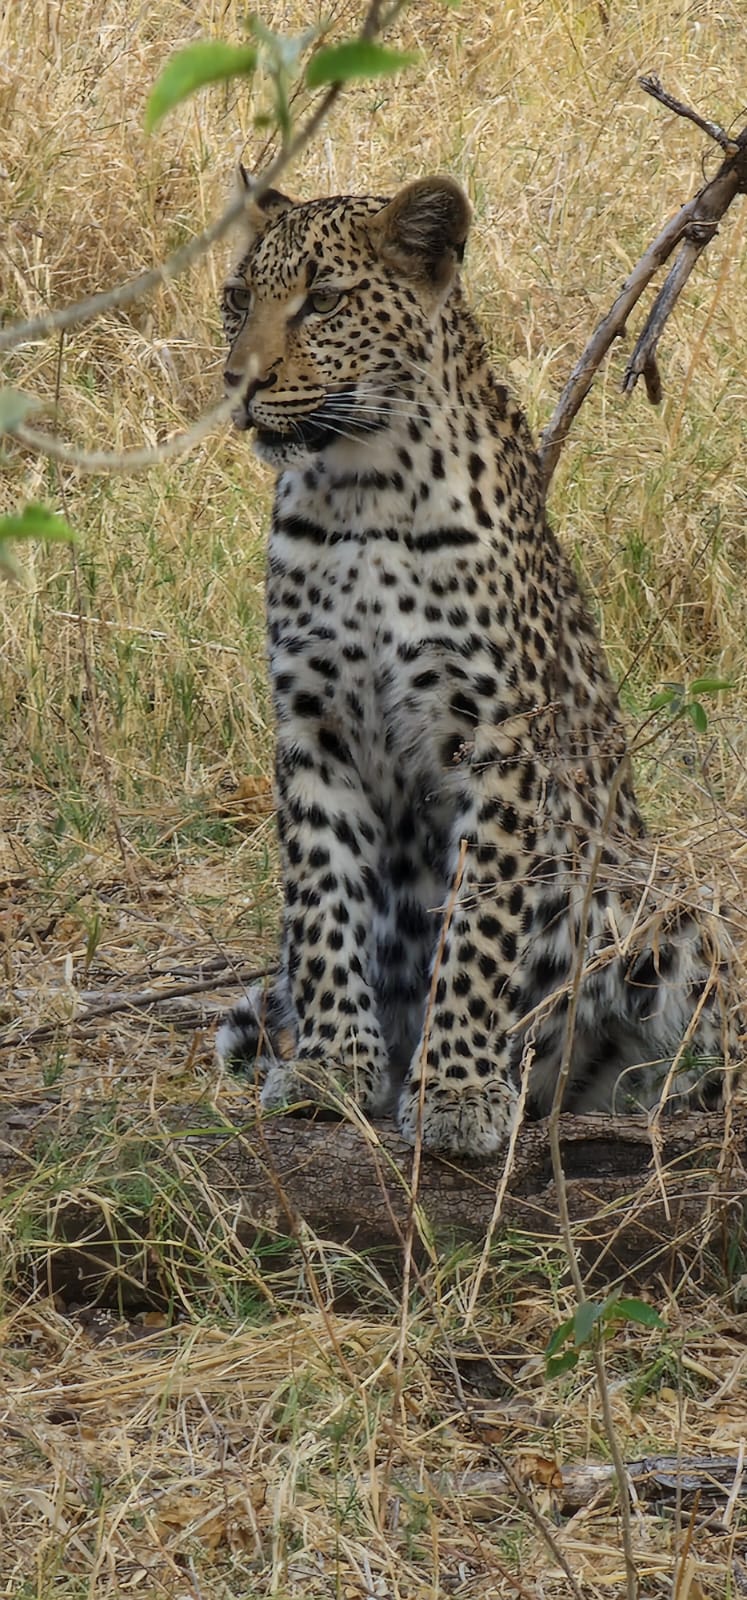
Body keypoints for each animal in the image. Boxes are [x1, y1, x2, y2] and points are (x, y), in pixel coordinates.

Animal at [215, 169, 739, 1158]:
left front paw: (455, 1089)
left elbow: (479, 920)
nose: (240, 382)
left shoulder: (495, 733)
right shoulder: (312, 722)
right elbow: (322, 895)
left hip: (658, 893)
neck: (359, 491)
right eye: (236, 301)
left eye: (323, 302)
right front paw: (333, 1064)